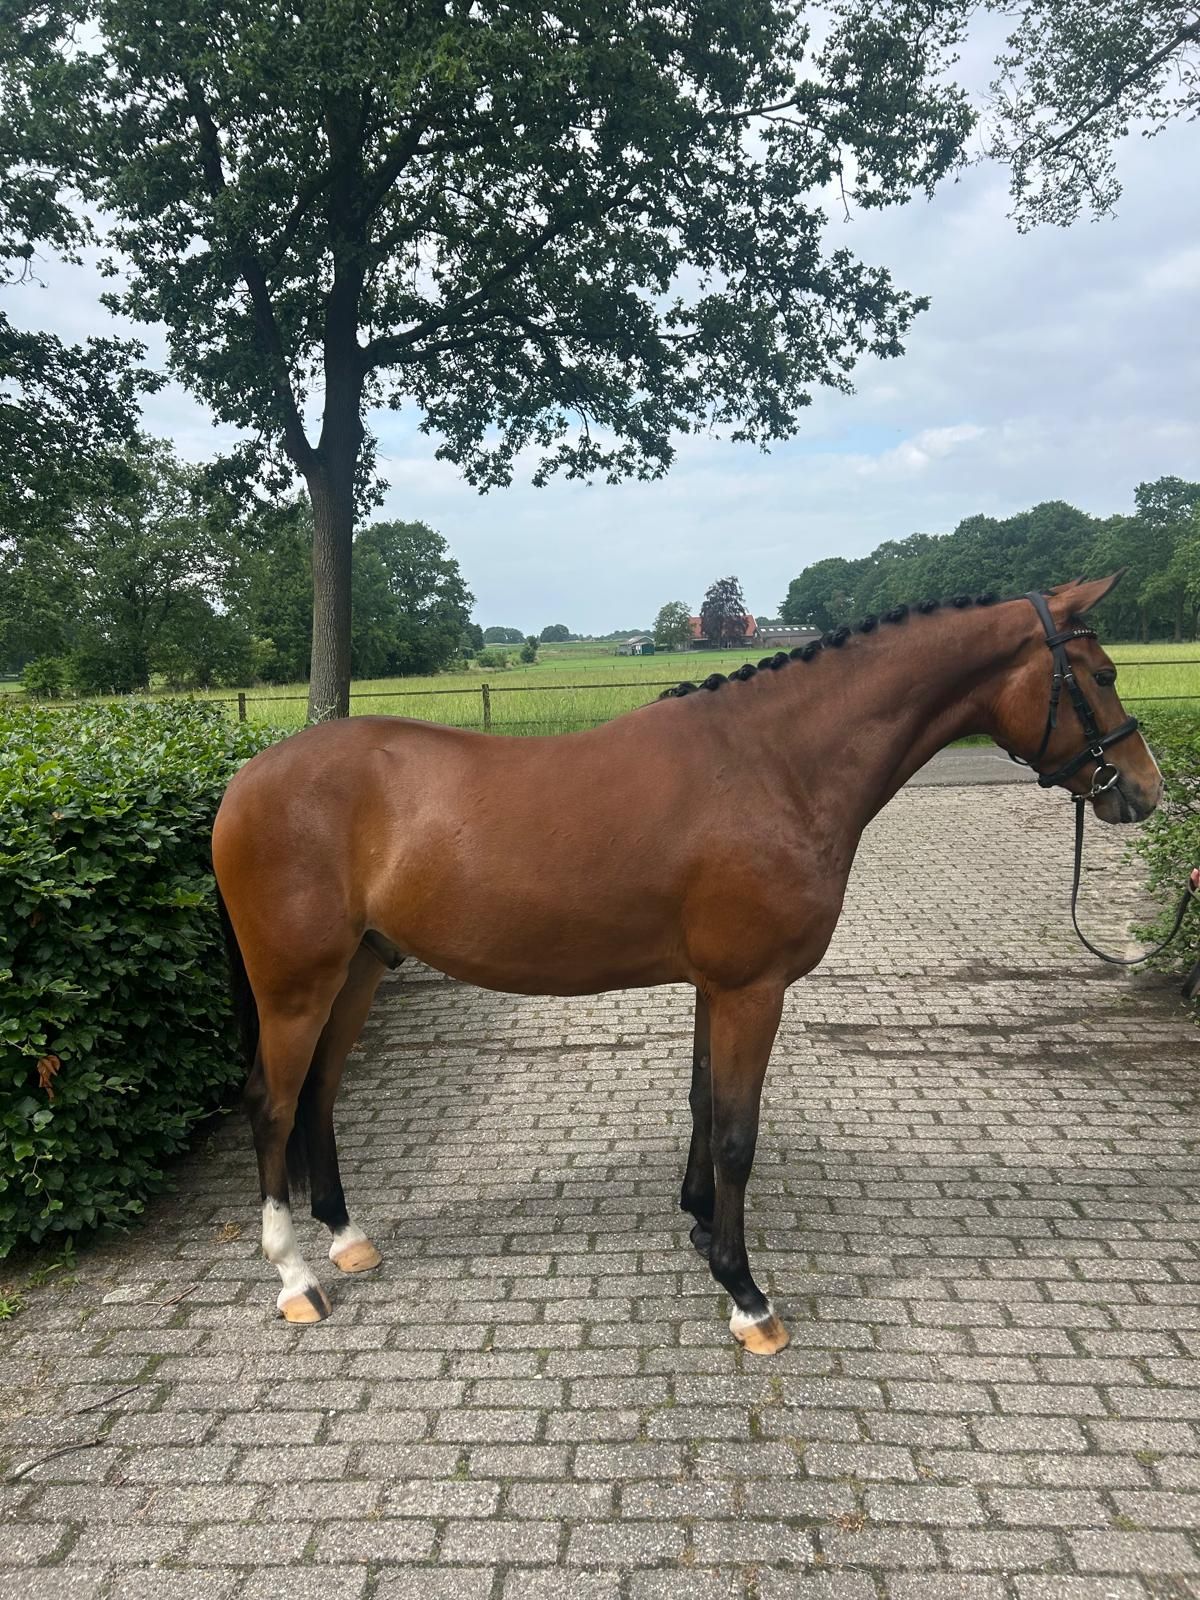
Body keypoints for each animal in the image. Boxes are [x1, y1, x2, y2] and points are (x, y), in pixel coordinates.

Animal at [212, 572, 1162, 1354]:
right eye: (1102, 673)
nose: (1146, 792)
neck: (775, 766)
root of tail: (245, 780)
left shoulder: (717, 987)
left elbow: (705, 1106)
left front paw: (703, 1230)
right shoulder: (753, 990)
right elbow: (739, 1134)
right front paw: (747, 1296)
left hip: (361, 972)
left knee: (320, 1096)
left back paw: (348, 1239)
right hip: (296, 986)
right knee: (272, 1103)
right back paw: (296, 1279)